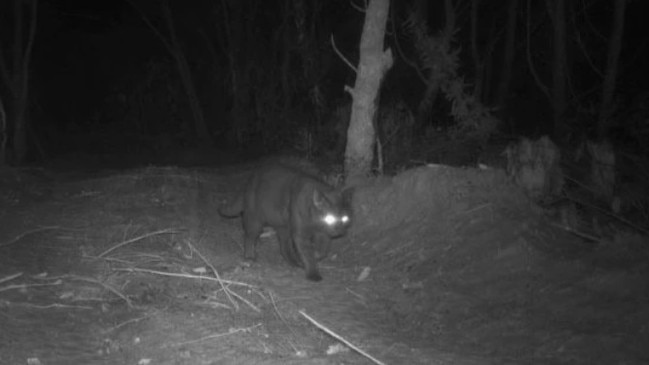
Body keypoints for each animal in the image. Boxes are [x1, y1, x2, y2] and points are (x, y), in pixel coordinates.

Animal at [219, 161, 352, 280]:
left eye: (344, 218)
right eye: (330, 218)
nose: (340, 231)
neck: (315, 223)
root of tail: (250, 181)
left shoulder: (323, 234)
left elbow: (322, 251)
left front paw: (313, 256)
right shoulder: (300, 234)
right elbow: (307, 253)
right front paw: (313, 274)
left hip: (283, 227)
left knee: (284, 247)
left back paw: (294, 263)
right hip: (255, 220)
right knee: (249, 237)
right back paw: (249, 257)